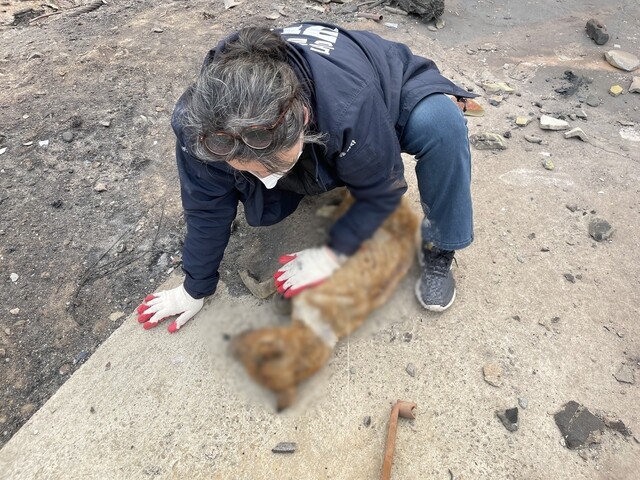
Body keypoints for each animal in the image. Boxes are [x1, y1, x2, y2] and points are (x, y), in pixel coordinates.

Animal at [231, 193, 420, 410]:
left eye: (250, 360)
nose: (232, 345)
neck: (315, 327)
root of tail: (411, 217)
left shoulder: (290, 279)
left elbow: (264, 291)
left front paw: (250, 280)